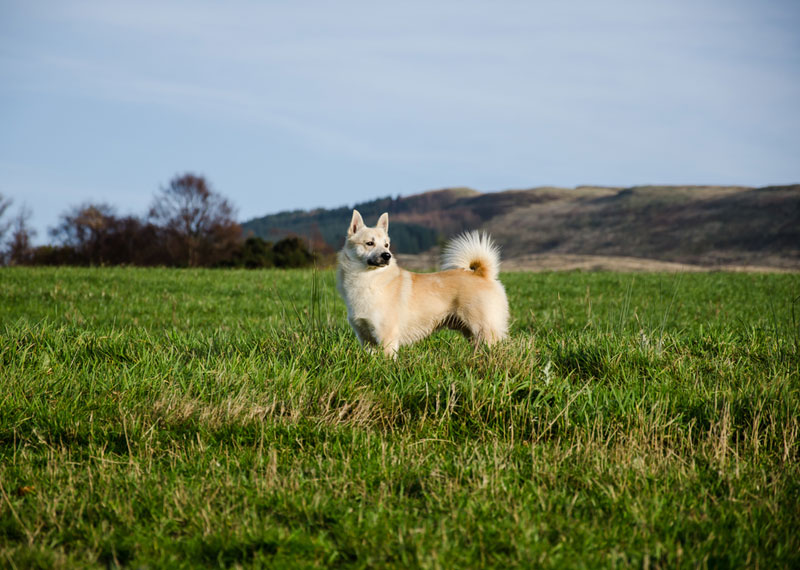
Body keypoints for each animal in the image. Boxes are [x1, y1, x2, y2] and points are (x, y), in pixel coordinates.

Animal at [336, 209, 510, 356]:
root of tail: (482, 275)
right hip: (471, 333)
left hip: (484, 329)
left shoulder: (387, 338)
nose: (387, 255)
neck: (369, 278)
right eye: (369, 243)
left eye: (386, 245)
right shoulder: (365, 339)